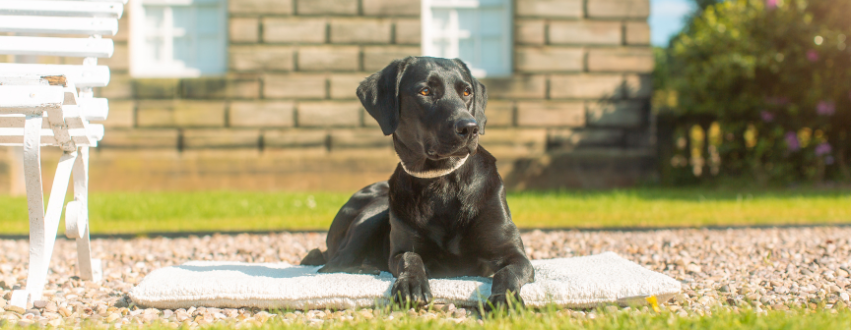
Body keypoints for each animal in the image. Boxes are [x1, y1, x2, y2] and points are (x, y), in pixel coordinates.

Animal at [302, 56, 532, 310]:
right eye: (425, 91)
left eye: (466, 92)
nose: (470, 127)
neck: (442, 182)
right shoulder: (400, 250)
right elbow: (410, 258)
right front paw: (411, 284)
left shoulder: (515, 255)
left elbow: (507, 273)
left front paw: (505, 298)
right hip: (374, 211)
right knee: (332, 265)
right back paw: (367, 268)